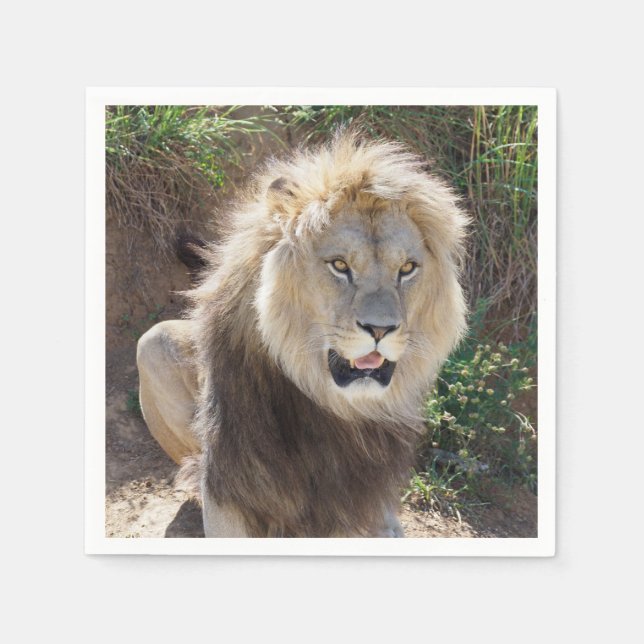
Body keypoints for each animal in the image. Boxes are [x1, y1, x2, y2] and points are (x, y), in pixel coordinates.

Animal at [136, 132, 468, 537]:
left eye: (407, 269)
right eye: (339, 265)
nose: (381, 328)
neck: (334, 411)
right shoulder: (226, 486)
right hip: (152, 344)